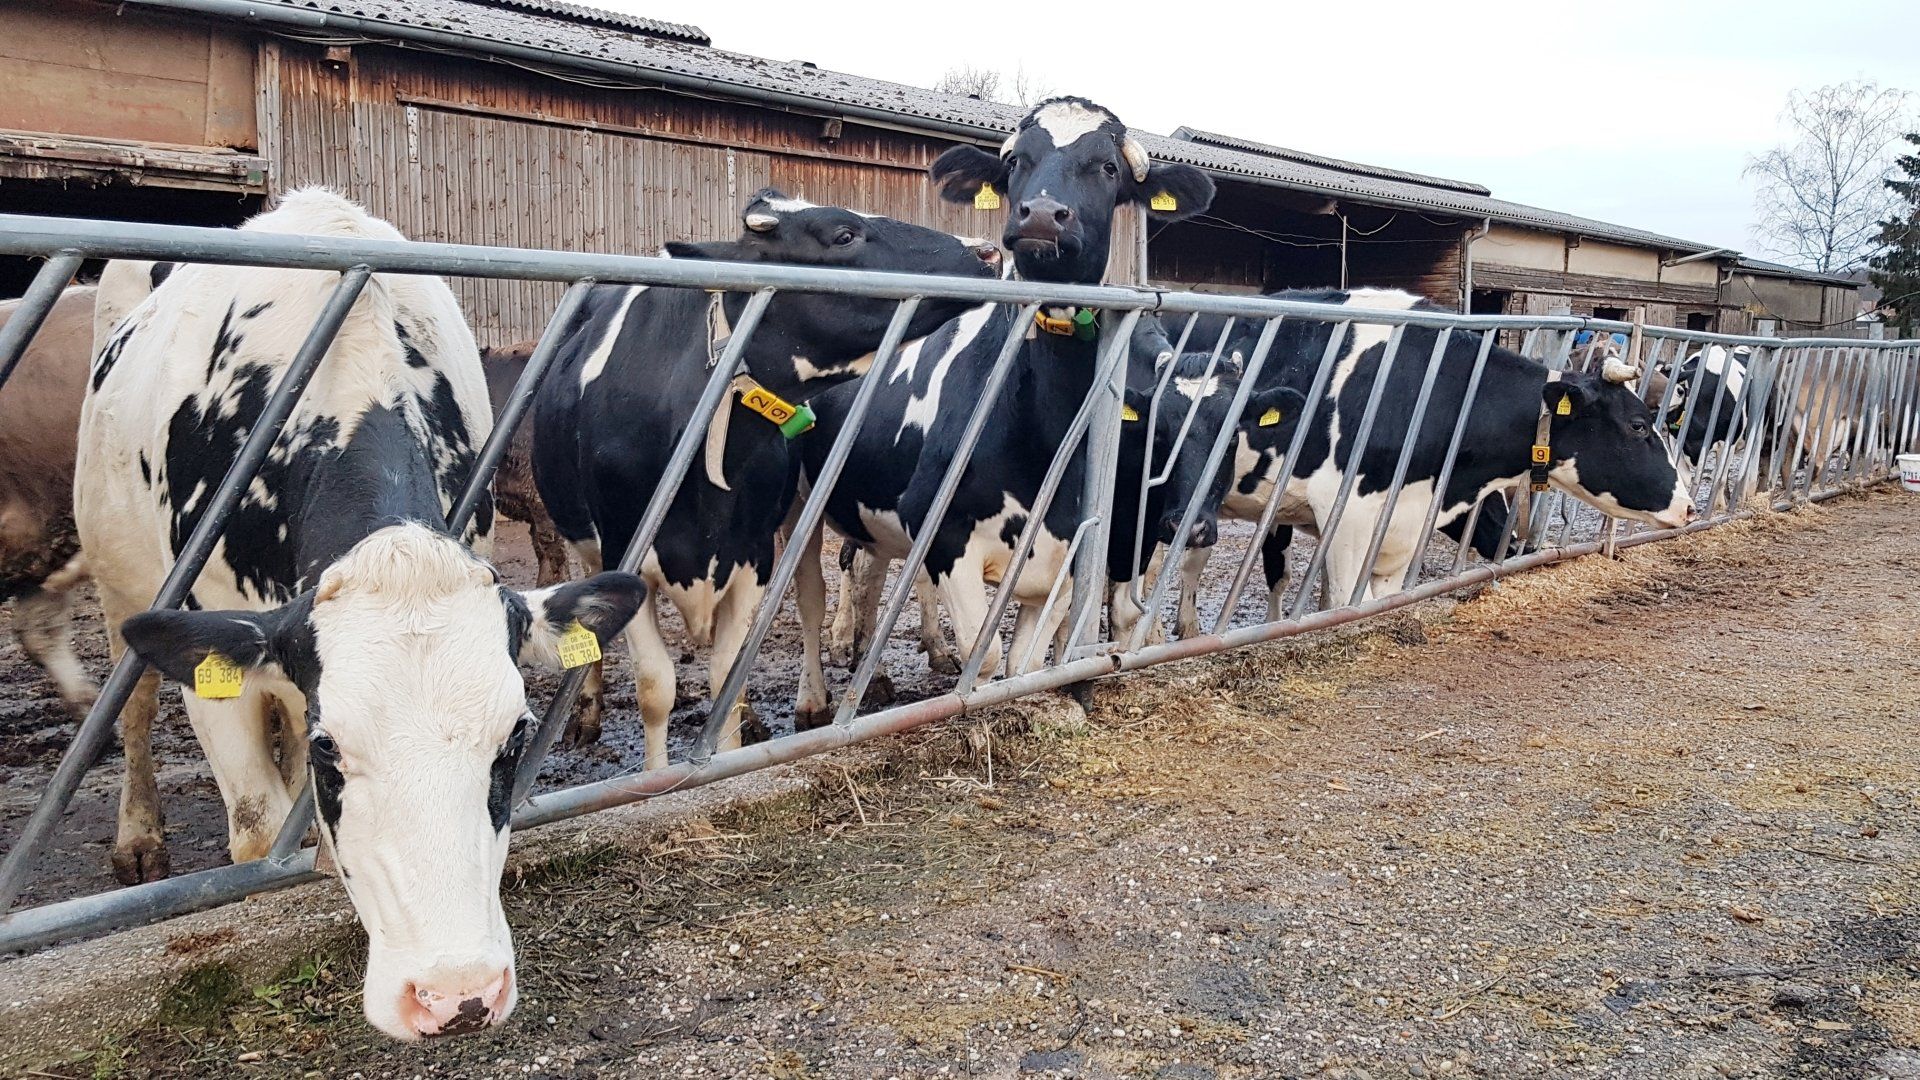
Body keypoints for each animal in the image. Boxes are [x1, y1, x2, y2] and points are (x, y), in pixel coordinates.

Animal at [529, 190, 1002, 767]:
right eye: (843, 235)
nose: (985, 250)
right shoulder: (628, 556)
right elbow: (656, 687)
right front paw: (655, 775)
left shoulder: (751, 554)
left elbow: (724, 680)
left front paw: (727, 750)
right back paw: (587, 714)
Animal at [792, 96, 1216, 721]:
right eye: (1015, 161)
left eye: (1108, 168)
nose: (1040, 216)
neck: (1037, 434)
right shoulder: (943, 530)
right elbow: (985, 658)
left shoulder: (1067, 547)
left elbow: (1025, 664)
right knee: (811, 598)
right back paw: (814, 700)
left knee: (869, 570)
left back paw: (873, 678)